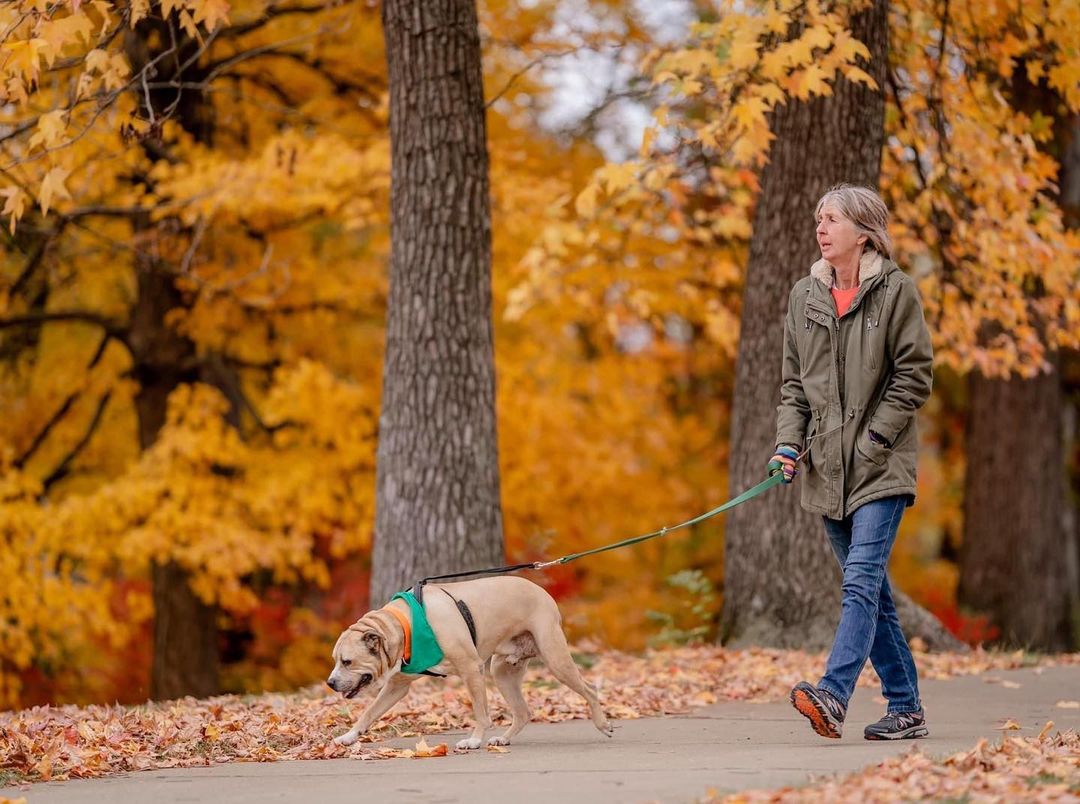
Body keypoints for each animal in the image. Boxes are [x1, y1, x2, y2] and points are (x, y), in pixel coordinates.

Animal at [324, 574, 613, 752]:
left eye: (347, 661)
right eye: (335, 660)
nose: (330, 683)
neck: (404, 625)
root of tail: (542, 592)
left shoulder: (471, 669)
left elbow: (480, 712)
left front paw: (473, 740)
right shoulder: (397, 686)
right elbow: (369, 712)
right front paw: (349, 736)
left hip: (555, 658)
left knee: (589, 689)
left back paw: (603, 724)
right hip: (503, 672)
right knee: (523, 712)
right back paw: (503, 739)